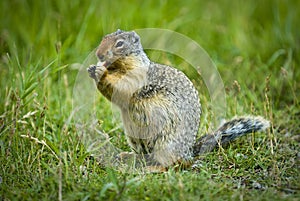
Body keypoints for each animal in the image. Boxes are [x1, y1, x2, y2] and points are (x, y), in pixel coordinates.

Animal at [86, 29, 270, 169]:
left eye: (120, 43)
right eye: (104, 38)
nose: (99, 54)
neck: (118, 67)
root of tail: (188, 152)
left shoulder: (136, 77)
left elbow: (123, 88)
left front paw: (100, 72)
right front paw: (92, 69)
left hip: (166, 143)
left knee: (171, 164)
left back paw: (151, 169)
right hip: (135, 138)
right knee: (147, 156)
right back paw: (128, 156)